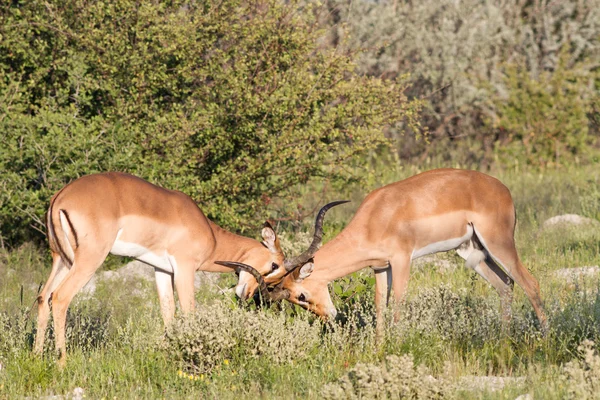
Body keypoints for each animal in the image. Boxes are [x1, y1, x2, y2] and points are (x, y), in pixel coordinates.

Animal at [36, 170, 338, 364]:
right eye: (274, 264)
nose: (248, 294)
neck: (210, 235)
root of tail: (61, 197)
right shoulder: (184, 268)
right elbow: (189, 312)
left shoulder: (161, 270)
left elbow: (168, 313)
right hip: (89, 259)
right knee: (60, 297)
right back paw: (61, 361)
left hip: (62, 259)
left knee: (42, 296)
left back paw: (37, 356)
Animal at [219, 169, 548, 334]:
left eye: (301, 295)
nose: (329, 316)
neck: (376, 217)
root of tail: (503, 189)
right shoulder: (379, 267)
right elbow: (380, 308)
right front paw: (379, 348)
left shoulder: (402, 261)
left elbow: (398, 305)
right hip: (471, 251)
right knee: (506, 285)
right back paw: (503, 340)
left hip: (499, 243)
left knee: (530, 283)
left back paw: (544, 341)